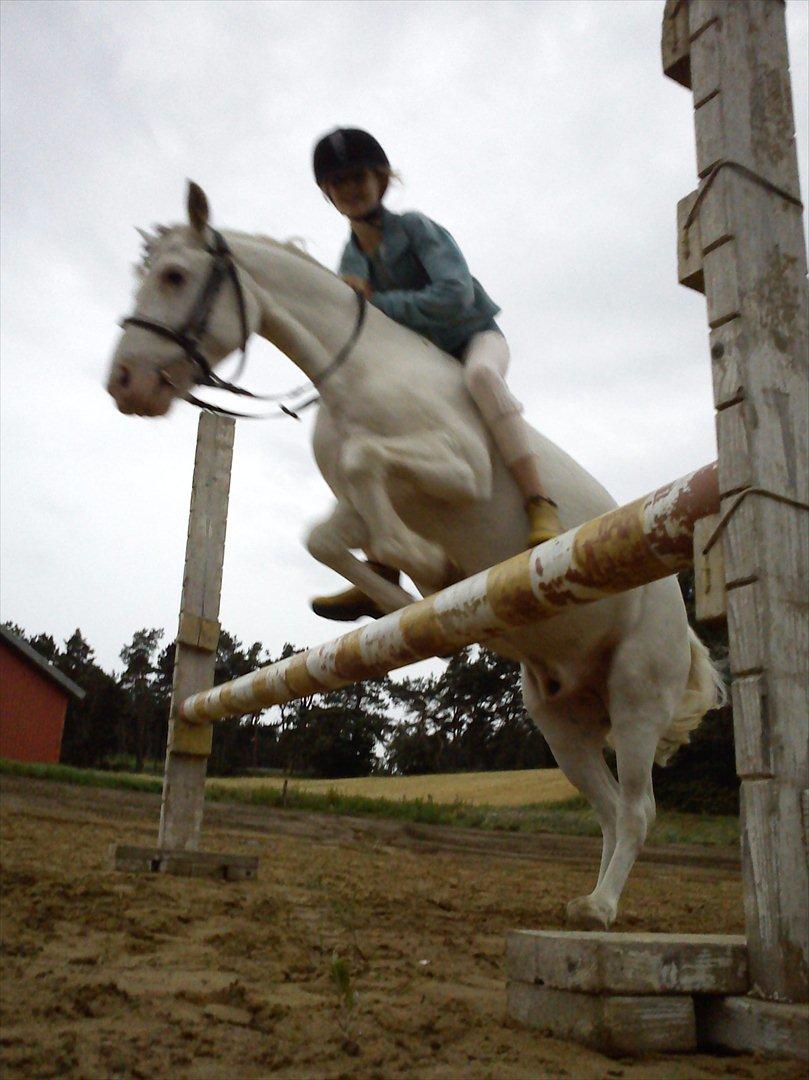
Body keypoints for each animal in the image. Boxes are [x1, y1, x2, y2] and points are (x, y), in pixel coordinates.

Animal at [107, 182, 724, 929]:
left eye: (173, 276)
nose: (123, 383)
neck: (353, 373)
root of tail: (683, 625)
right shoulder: (353, 503)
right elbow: (329, 535)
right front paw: (391, 602)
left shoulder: (456, 469)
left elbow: (369, 473)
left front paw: (430, 571)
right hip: (561, 720)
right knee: (606, 808)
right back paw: (587, 898)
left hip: (635, 692)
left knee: (635, 808)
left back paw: (600, 910)